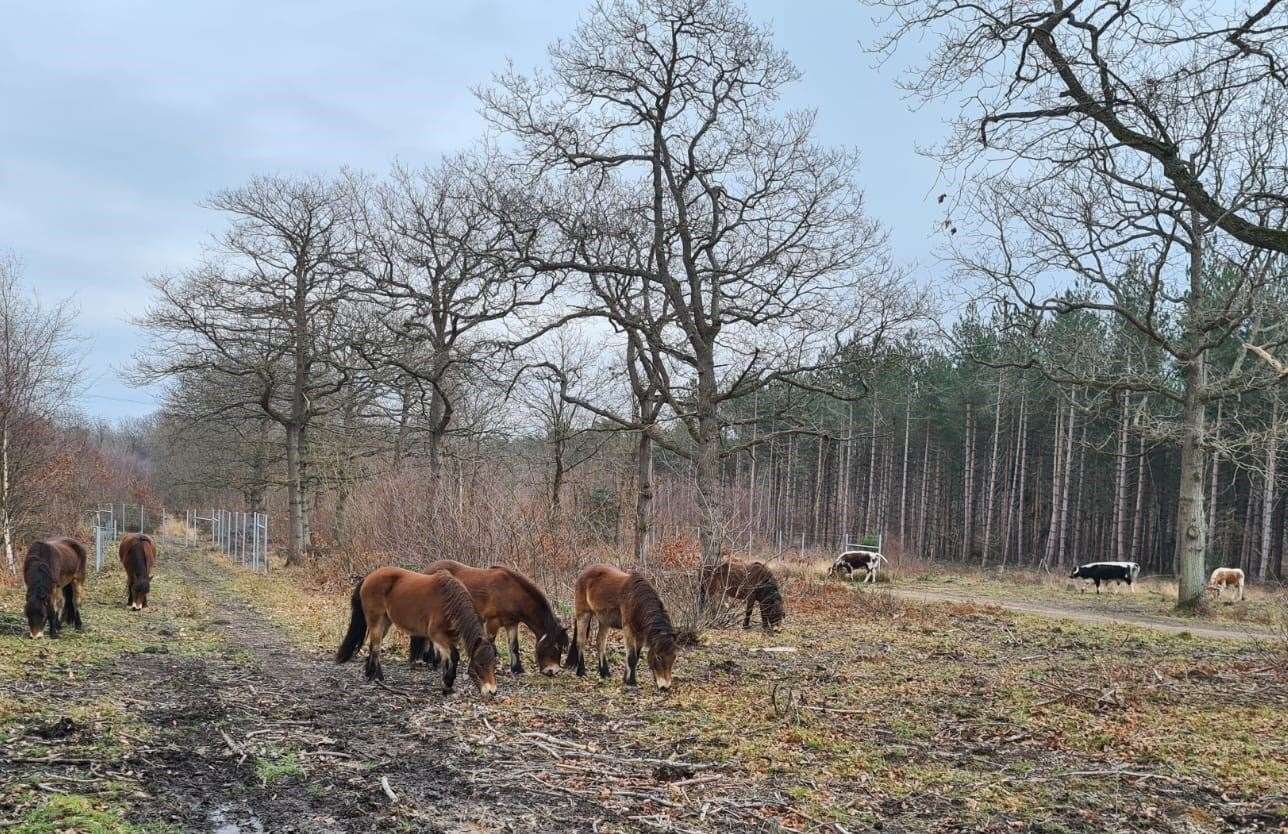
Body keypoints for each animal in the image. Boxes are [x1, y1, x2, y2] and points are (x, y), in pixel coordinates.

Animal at [337, 566, 497, 695]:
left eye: (494, 664)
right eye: (480, 664)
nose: (492, 691)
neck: (449, 604)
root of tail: (369, 577)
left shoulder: (450, 638)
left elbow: (448, 659)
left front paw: (446, 685)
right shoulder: (438, 636)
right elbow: (454, 656)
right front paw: (448, 683)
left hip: (385, 622)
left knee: (373, 646)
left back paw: (371, 674)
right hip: (376, 620)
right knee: (376, 647)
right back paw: (376, 676)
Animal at [414, 561, 571, 679]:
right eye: (556, 647)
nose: (552, 671)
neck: (512, 592)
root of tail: (426, 571)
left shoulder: (511, 623)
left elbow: (514, 646)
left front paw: (517, 669)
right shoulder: (492, 622)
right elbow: (489, 644)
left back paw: (431, 660)